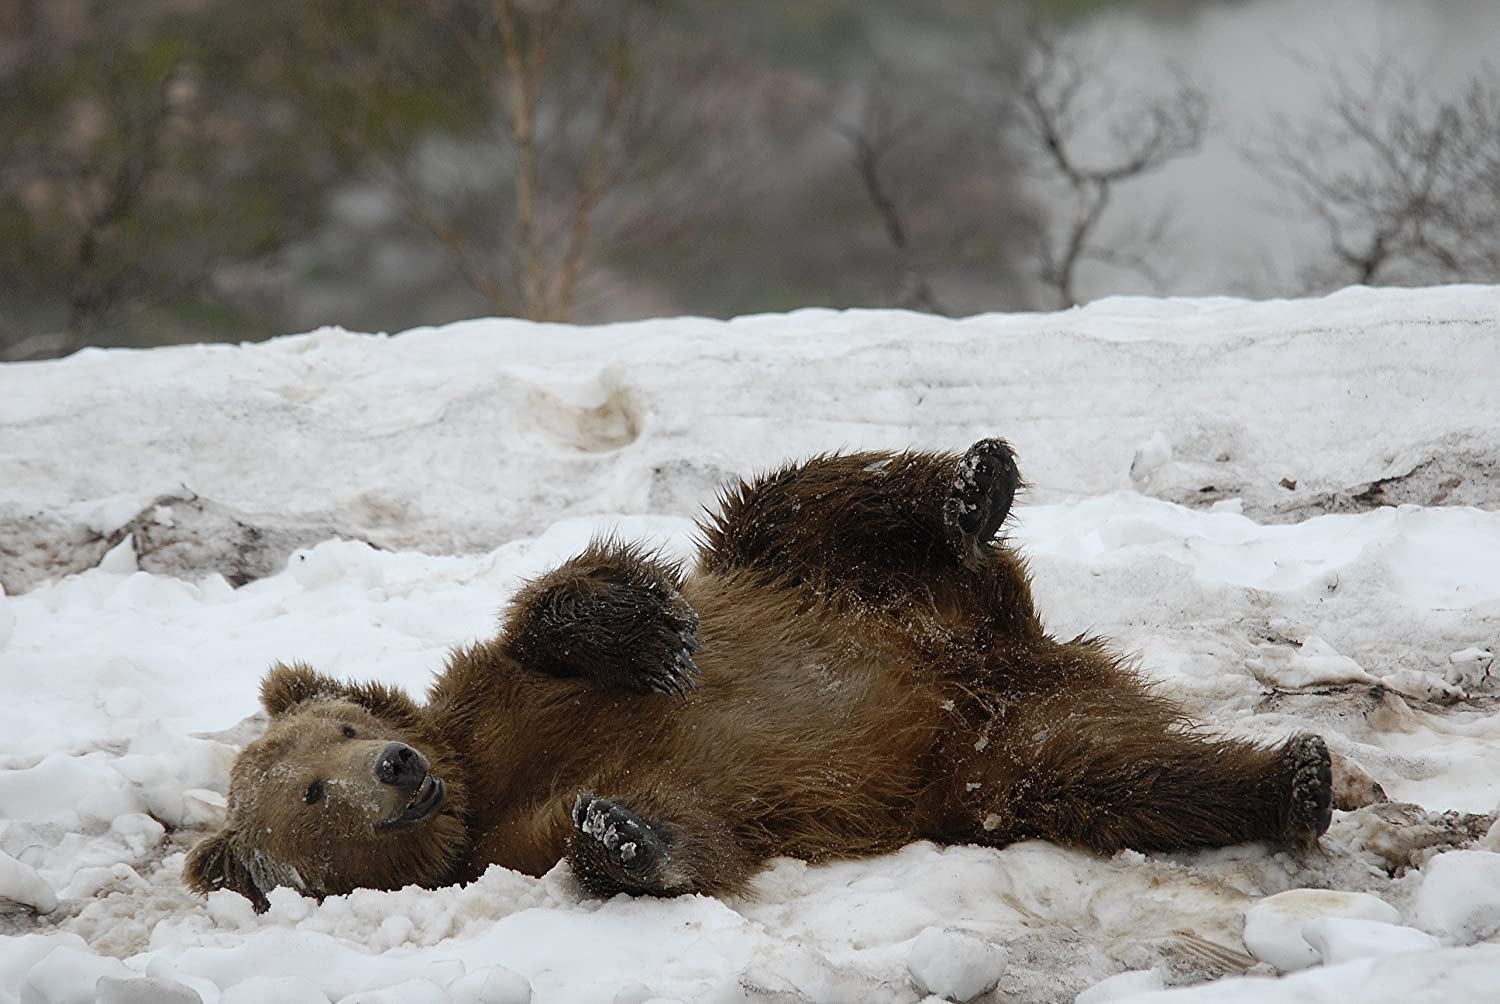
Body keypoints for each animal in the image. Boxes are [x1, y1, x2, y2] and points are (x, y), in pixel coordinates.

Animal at [185, 439, 1334, 910]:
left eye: (339, 730)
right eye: (311, 794)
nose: (393, 767)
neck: (474, 775)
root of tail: (1009, 660)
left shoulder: (488, 694)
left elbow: (554, 606)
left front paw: (648, 635)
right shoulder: (502, 841)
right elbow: (675, 828)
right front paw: (622, 835)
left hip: (854, 589)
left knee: (793, 504)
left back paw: (975, 484)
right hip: (990, 762)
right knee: (1115, 775)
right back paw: (1292, 780)